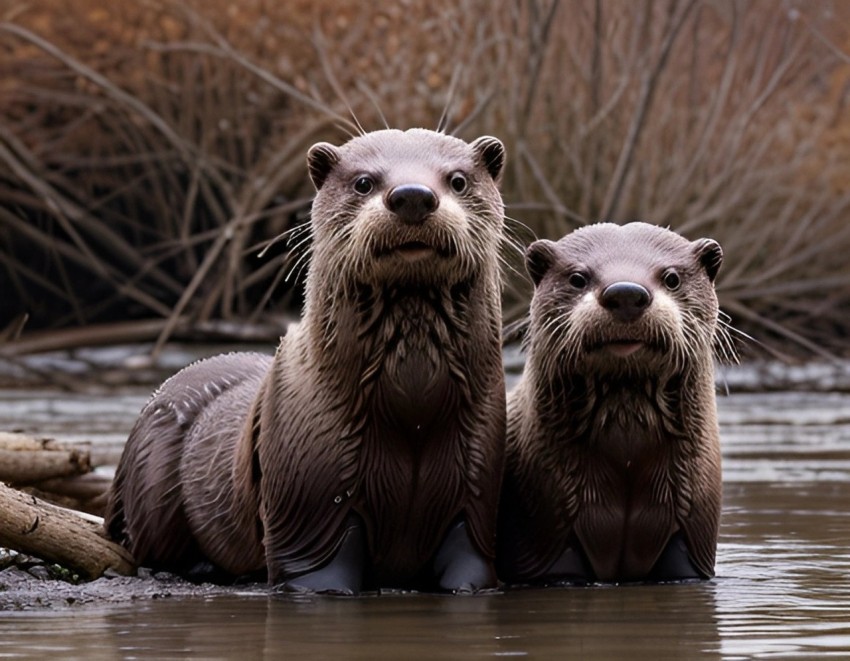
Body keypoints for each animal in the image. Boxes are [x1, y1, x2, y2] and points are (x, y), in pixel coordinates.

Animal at [105, 128, 508, 594]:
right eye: (364, 182)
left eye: (458, 180)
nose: (412, 195)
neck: (414, 404)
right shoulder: (310, 506)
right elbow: (317, 572)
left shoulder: (477, 487)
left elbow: (471, 562)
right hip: (152, 485)